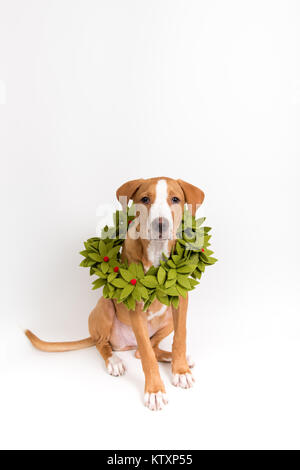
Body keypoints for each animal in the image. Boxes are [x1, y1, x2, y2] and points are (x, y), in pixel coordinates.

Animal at [25, 178, 205, 410]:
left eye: (175, 199)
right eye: (144, 199)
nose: (160, 224)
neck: (156, 254)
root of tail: (127, 343)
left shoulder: (182, 299)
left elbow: (180, 337)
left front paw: (181, 370)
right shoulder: (135, 306)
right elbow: (147, 356)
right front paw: (155, 391)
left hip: (166, 322)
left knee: (144, 348)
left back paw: (171, 358)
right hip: (105, 306)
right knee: (108, 345)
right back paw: (115, 361)